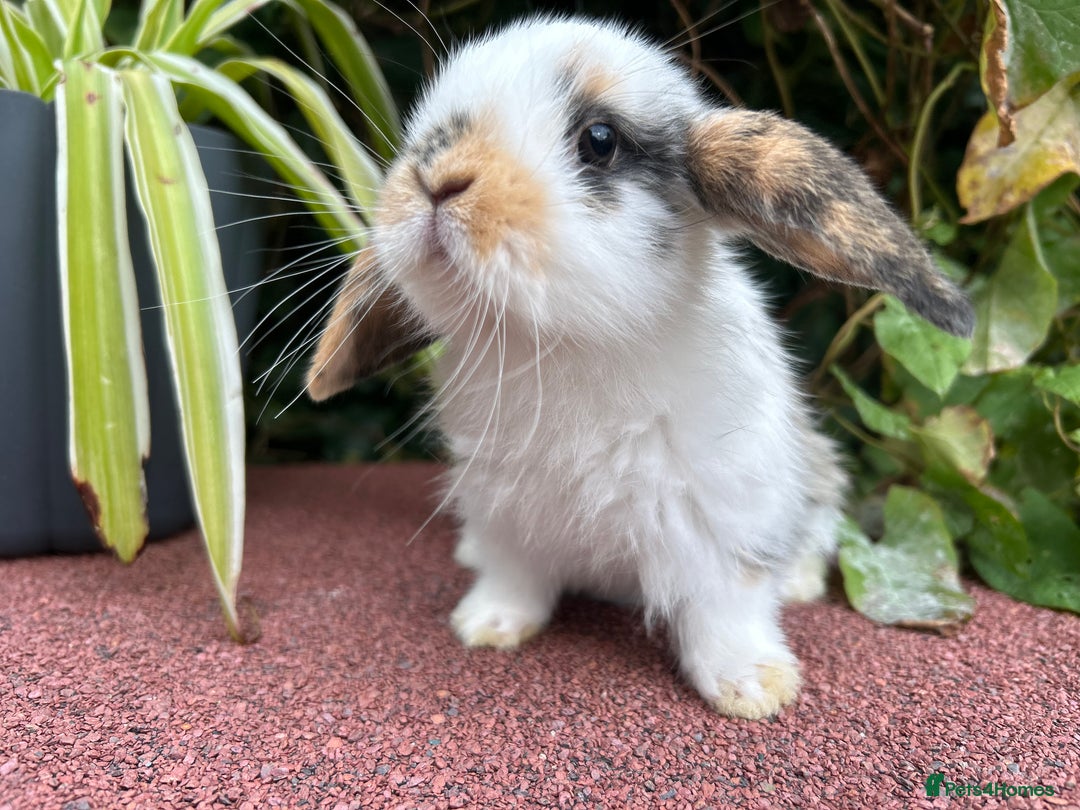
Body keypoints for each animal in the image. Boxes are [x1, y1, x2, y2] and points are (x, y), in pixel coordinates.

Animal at [304, 17, 974, 719]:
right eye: (422, 128)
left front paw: (753, 687)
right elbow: (514, 576)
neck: (562, 344)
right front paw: (488, 626)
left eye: (599, 141)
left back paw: (799, 585)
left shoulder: (725, 517)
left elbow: (726, 607)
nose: (435, 179)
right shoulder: (504, 506)